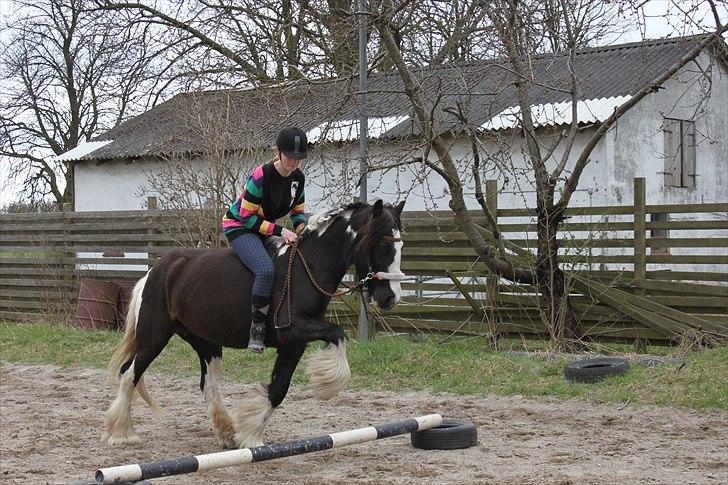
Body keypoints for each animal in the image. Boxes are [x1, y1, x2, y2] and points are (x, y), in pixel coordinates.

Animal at [102, 199, 405, 449]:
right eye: (382, 244)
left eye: (401, 245)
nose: (391, 297)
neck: (307, 267)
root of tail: (155, 272)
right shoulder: (295, 329)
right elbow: (339, 334)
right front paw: (326, 382)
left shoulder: (294, 344)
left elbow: (278, 390)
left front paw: (249, 434)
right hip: (155, 335)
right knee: (129, 373)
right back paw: (121, 433)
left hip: (206, 342)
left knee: (208, 384)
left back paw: (226, 432)